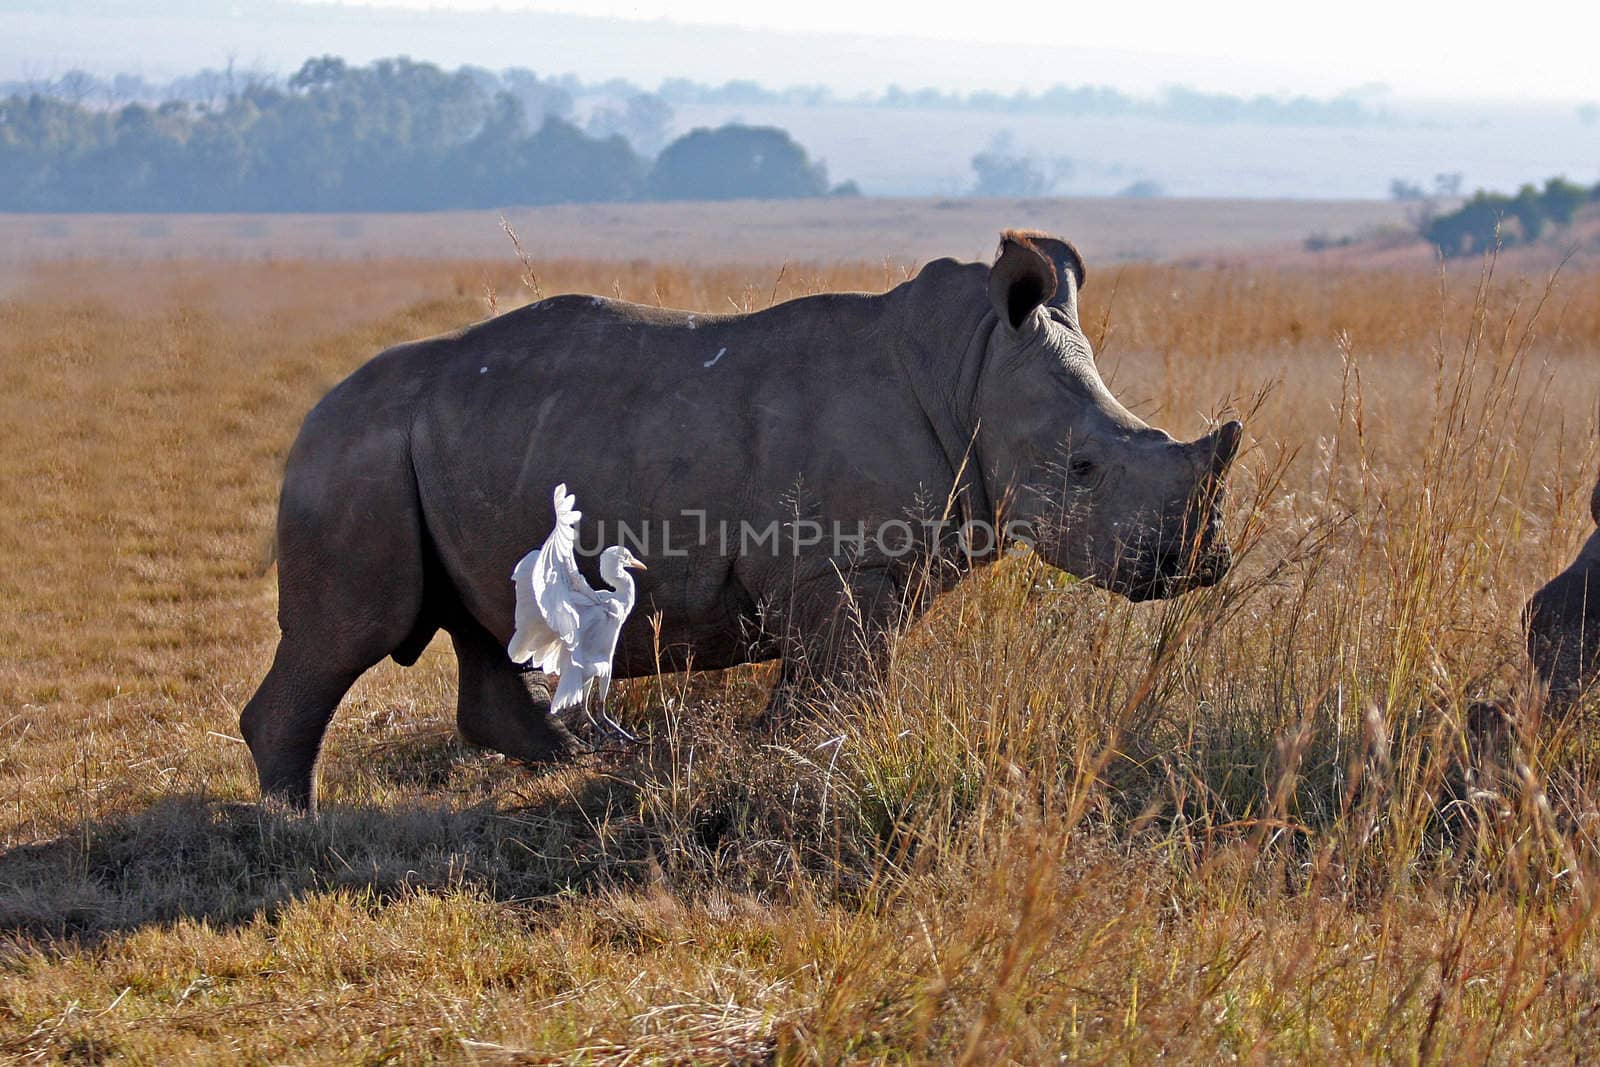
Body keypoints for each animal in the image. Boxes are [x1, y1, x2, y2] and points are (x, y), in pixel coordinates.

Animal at [243, 231, 1241, 809]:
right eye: (1084, 468)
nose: (1201, 564)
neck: (967, 372)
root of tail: (313, 418)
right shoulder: (842, 570)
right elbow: (840, 685)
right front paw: (809, 761)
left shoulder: (870, 569)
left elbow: (839, 681)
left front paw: (786, 755)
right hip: (358, 454)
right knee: (352, 631)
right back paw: (299, 825)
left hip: (432, 449)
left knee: (481, 616)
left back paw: (575, 761)